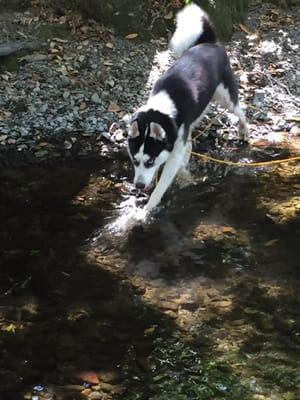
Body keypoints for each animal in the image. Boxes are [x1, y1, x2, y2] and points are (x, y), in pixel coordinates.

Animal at [126, 4, 248, 214]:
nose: (139, 186)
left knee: (241, 112)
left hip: (225, 98)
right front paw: (183, 175)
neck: (162, 109)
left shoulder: (174, 149)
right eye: (135, 160)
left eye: (149, 162)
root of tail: (209, 43)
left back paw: (244, 130)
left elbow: (162, 184)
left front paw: (148, 209)